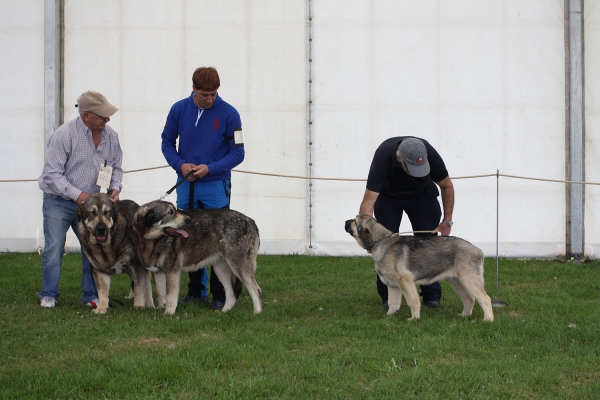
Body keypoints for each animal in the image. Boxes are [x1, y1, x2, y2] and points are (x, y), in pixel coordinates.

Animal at [342, 214, 506, 320]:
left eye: (354, 221)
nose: (345, 221)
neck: (381, 241)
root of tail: (478, 250)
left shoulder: (405, 282)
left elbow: (412, 301)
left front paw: (414, 319)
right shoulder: (393, 286)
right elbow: (393, 303)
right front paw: (389, 316)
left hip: (469, 280)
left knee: (485, 299)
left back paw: (487, 320)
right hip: (457, 282)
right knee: (469, 300)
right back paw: (464, 316)